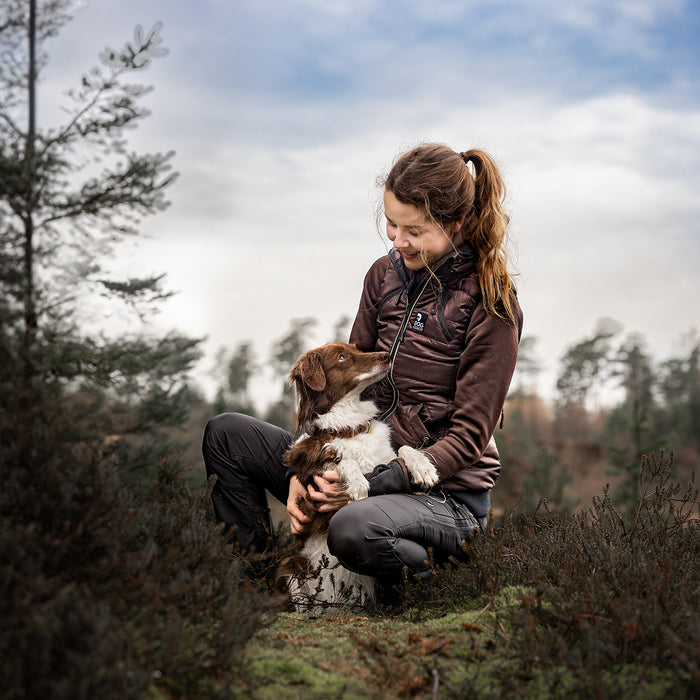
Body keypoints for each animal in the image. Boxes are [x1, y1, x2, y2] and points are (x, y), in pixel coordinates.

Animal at [274, 342, 434, 608]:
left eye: (356, 348)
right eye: (341, 357)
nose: (386, 356)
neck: (350, 428)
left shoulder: (384, 459)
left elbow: (403, 450)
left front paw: (423, 468)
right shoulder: (310, 494)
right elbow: (340, 459)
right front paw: (358, 482)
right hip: (291, 567)